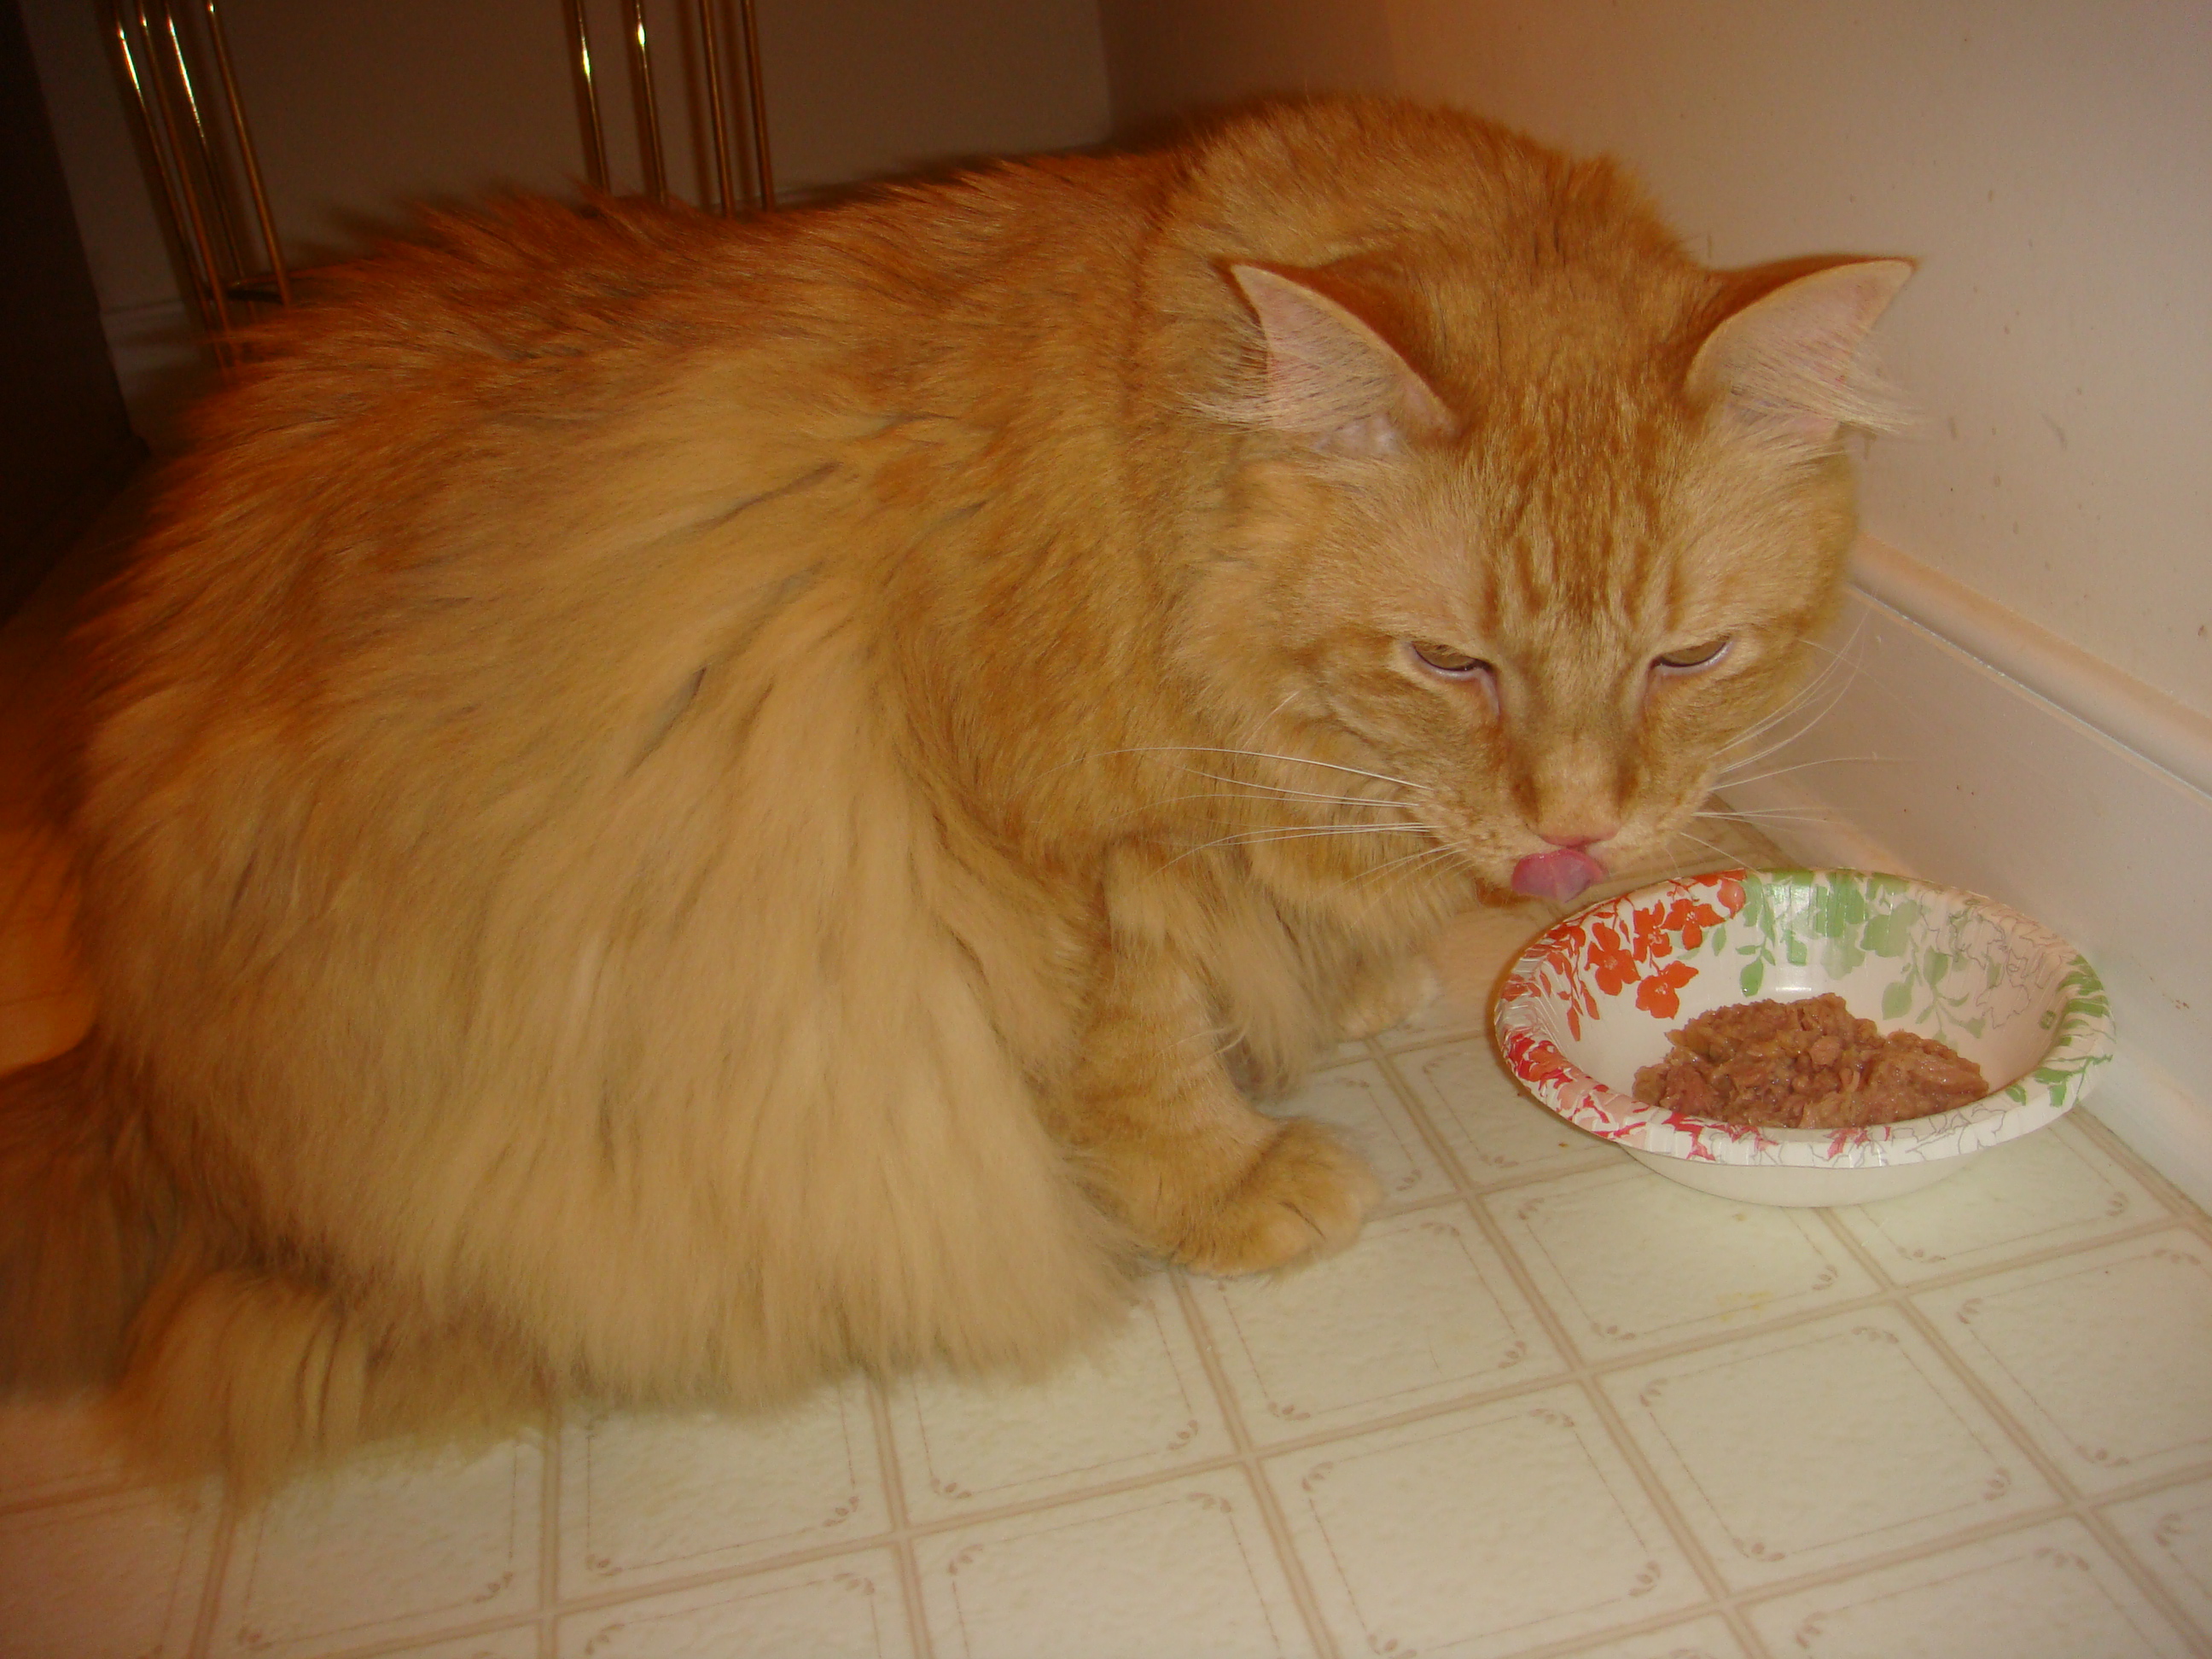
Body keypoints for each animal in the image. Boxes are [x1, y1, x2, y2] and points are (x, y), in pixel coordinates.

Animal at [0, 95, 1907, 1490]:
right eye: (1453, 664)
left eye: (1687, 657)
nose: (1575, 826)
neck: (1156, 490)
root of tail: (128, 1078)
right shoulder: (1044, 872)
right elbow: (1140, 1066)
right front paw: (1235, 1180)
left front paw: (1358, 968)